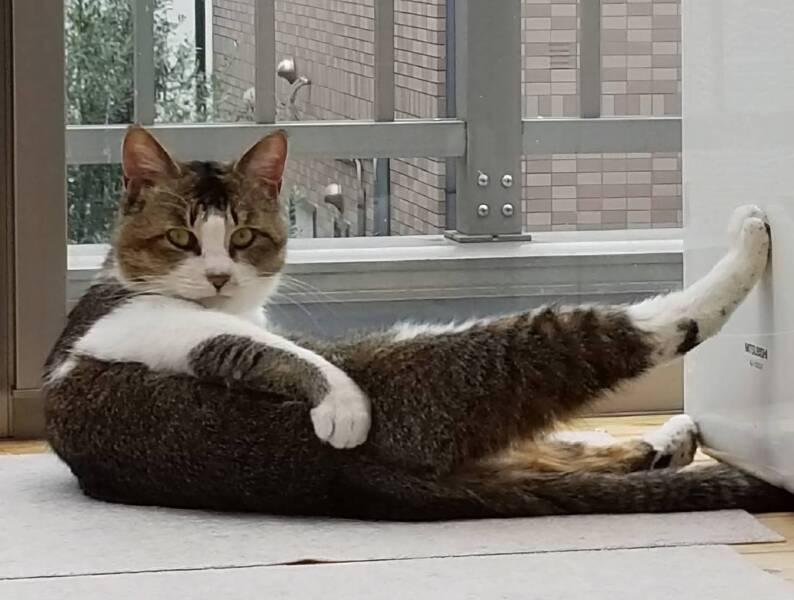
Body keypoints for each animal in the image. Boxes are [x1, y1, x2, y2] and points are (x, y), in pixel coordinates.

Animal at [43, 126, 792, 520]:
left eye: (246, 237)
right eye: (182, 239)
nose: (219, 275)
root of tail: (346, 483)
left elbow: (267, 340)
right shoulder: (133, 327)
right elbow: (257, 347)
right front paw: (342, 404)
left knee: (577, 450)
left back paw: (670, 434)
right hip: (436, 377)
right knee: (619, 336)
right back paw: (749, 240)